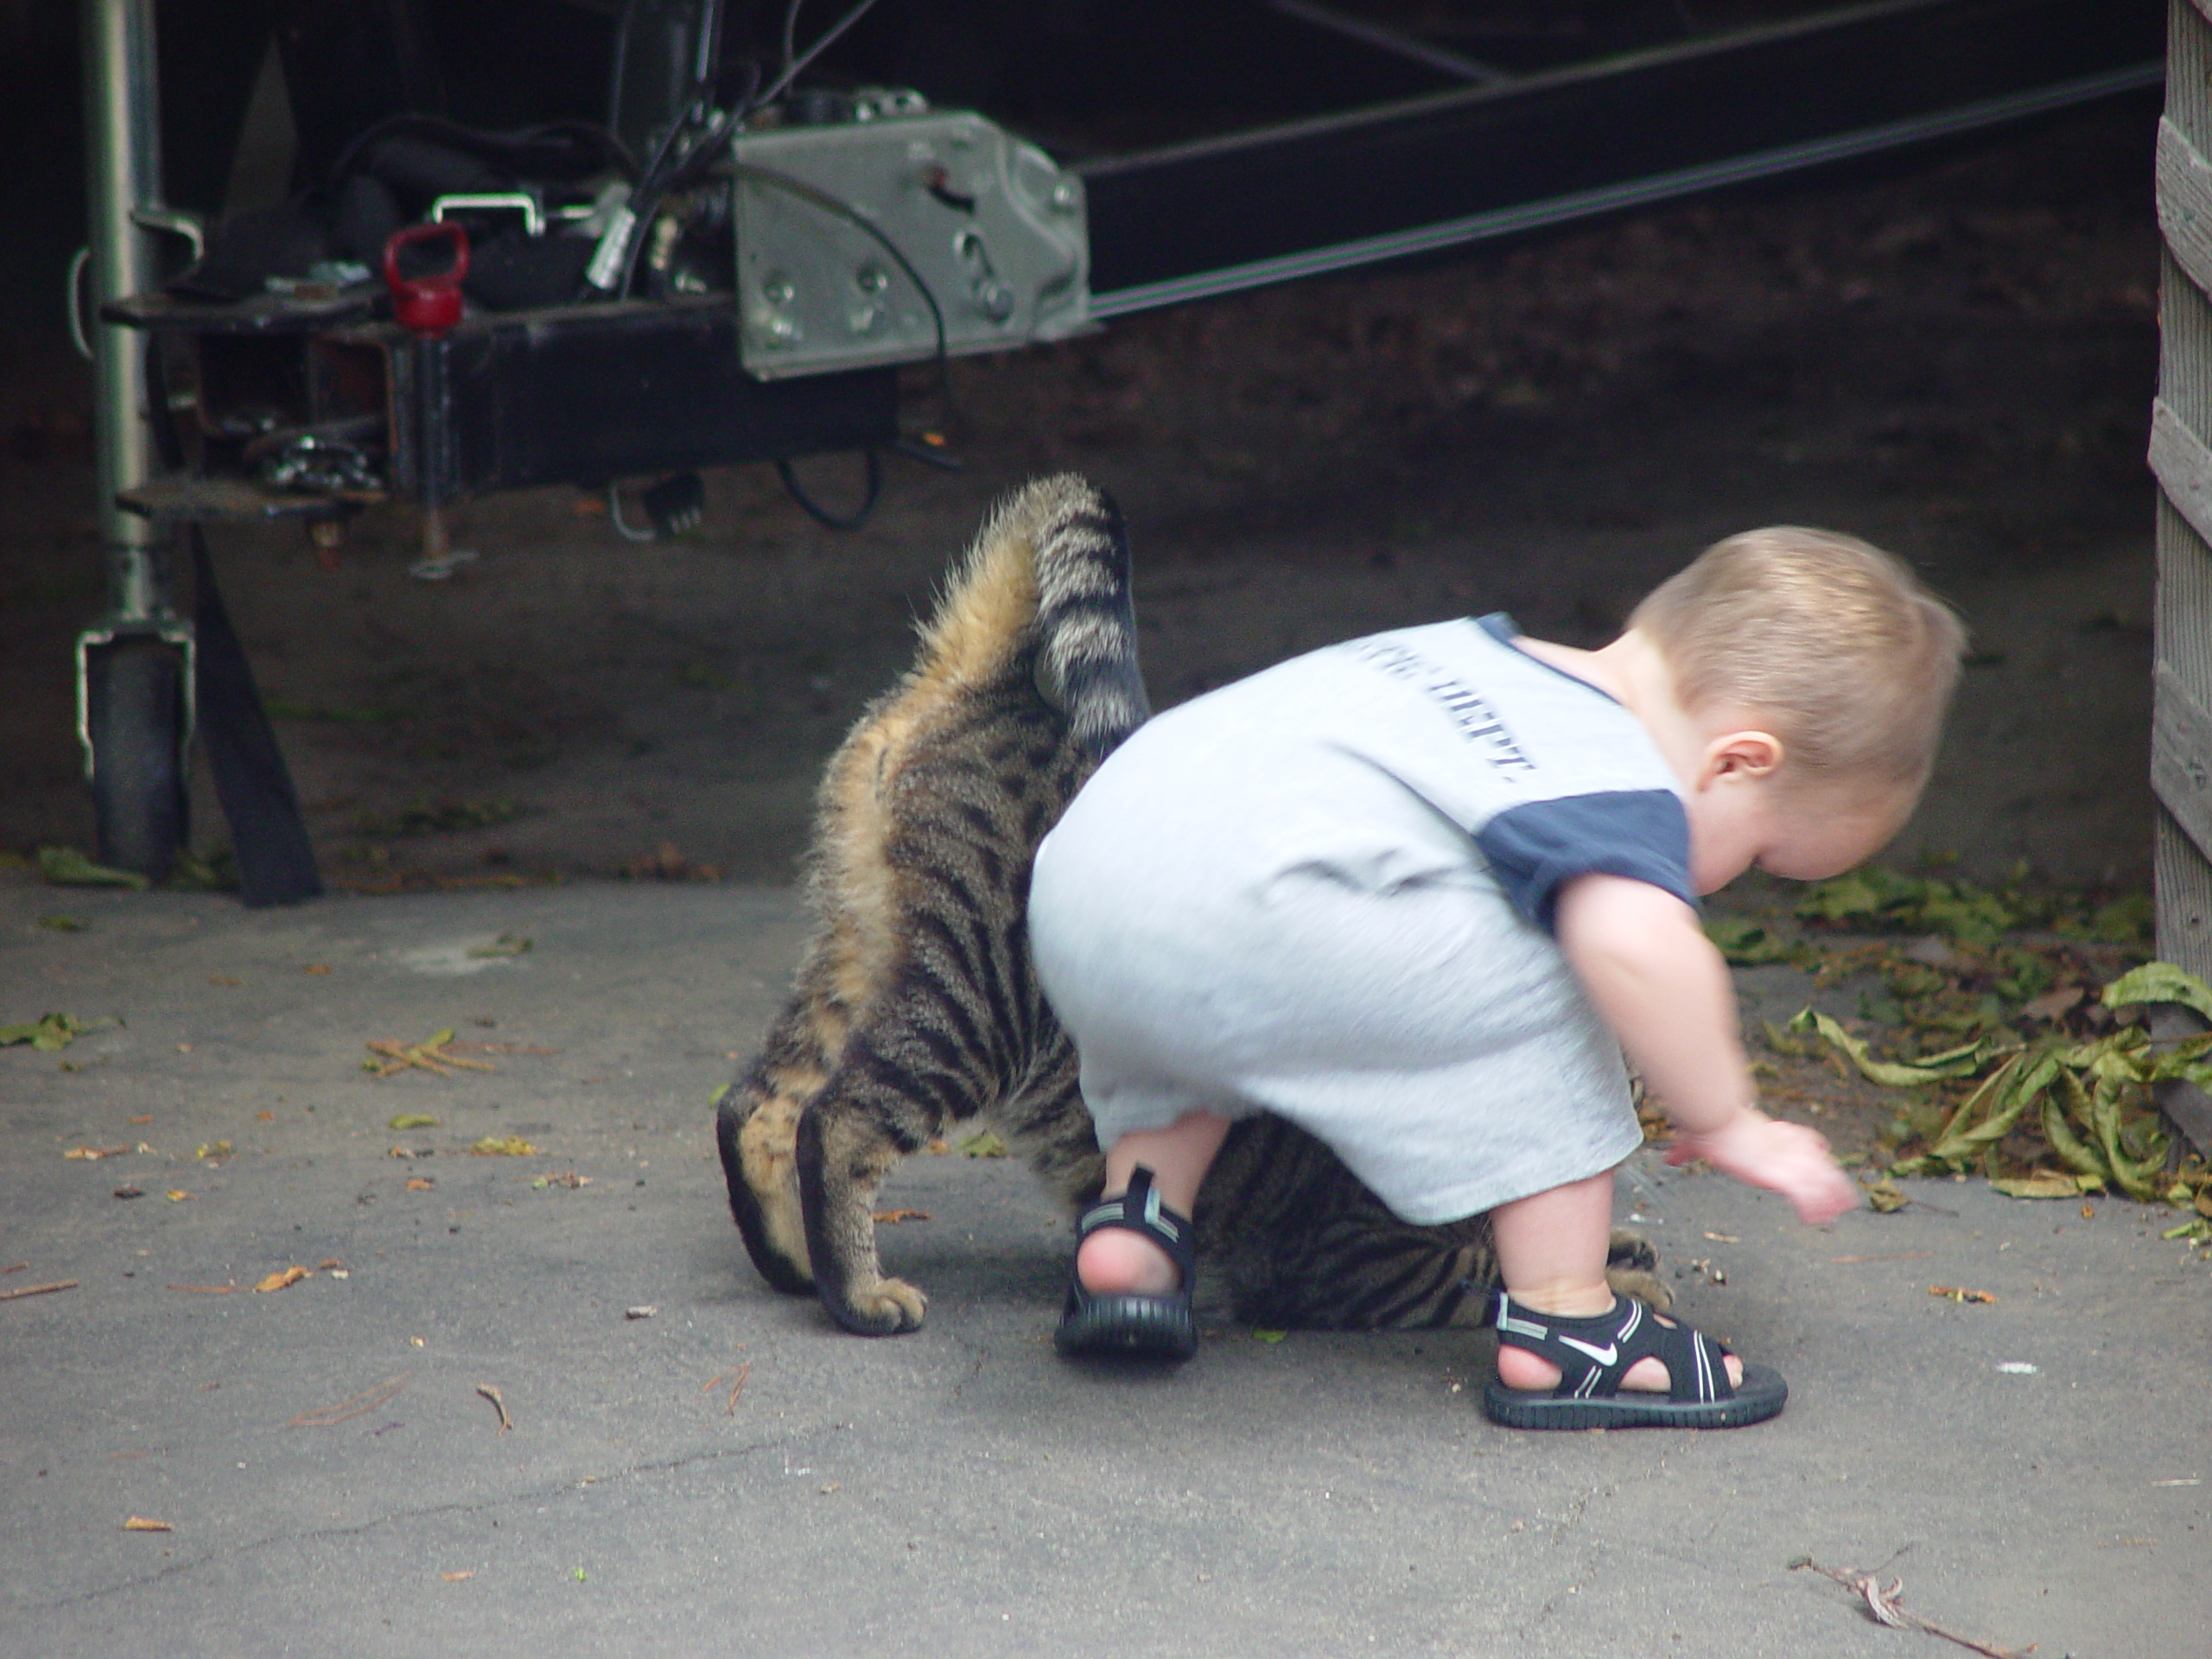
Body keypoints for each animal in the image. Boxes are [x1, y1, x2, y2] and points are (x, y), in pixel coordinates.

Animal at [716, 477, 1663, 1336]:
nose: (1638, 1124)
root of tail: (1009, 684)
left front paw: (1619, 1252)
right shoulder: (1346, 1259)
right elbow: (1479, 1270)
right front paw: (1614, 1285)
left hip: (860, 953)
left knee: (758, 1103)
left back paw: (793, 1259)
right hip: (976, 1002)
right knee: (839, 1120)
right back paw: (858, 1294)